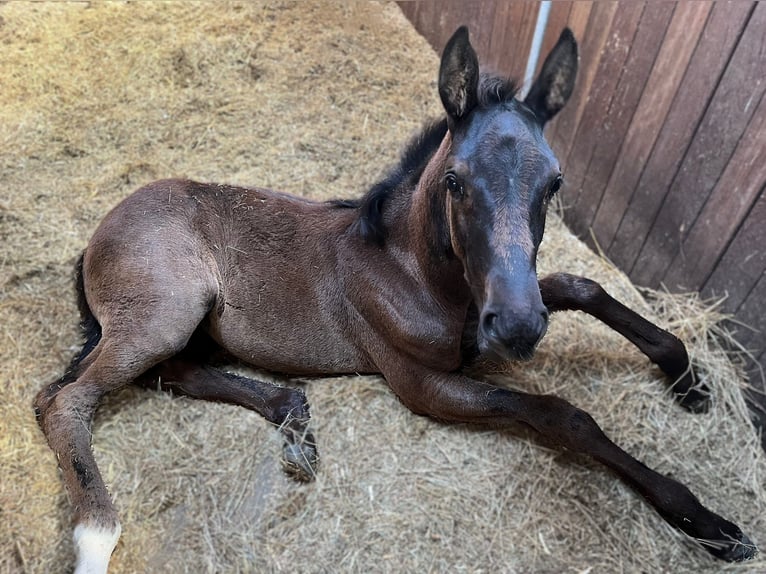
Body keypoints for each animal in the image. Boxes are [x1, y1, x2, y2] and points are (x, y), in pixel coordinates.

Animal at [34, 24, 756, 572]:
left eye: (554, 183)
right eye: (457, 180)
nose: (519, 329)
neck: (415, 274)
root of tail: (95, 238)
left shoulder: (495, 305)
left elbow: (582, 285)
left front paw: (687, 377)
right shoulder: (420, 381)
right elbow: (562, 415)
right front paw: (707, 521)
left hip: (186, 326)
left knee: (173, 374)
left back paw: (294, 417)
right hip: (166, 313)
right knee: (65, 398)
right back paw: (98, 536)